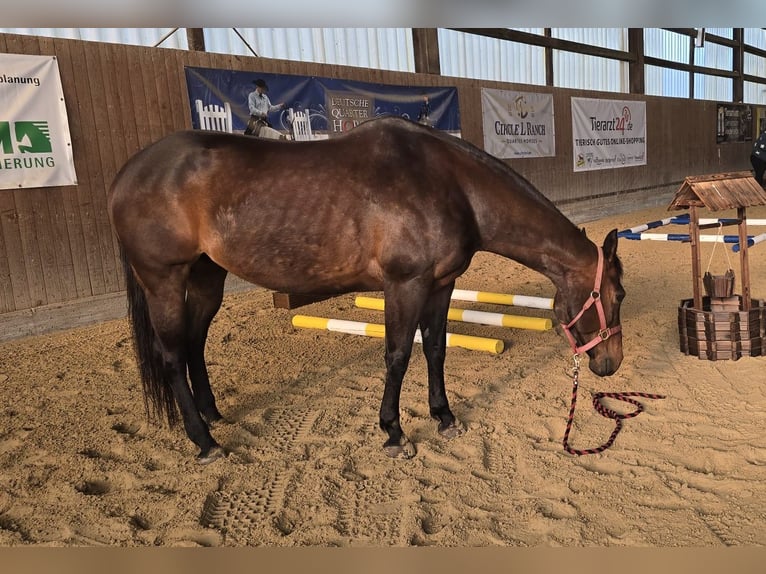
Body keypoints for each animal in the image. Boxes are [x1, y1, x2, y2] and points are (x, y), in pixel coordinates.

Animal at [107, 116, 625, 464]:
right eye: (616, 297)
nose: (610, 363)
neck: (453, 185)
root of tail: (126, 174)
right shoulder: (405, 285)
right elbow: (397, 355)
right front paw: (394, 433)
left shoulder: (441, 285)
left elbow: (435, 348)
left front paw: (444, 417)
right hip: (164, 279)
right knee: (173, 354)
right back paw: (205, 441)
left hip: (207, 277)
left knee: (195, 343)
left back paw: (213, 415)